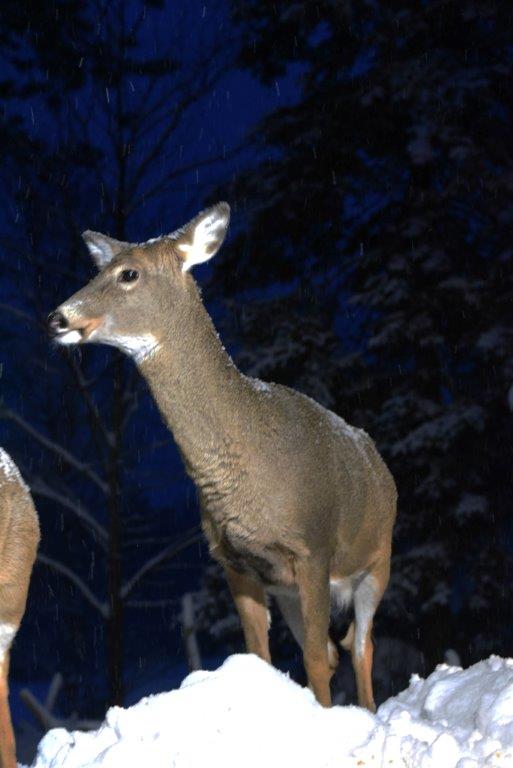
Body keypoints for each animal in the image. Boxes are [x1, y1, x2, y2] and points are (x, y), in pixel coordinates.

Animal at [47, 203, 397, 711]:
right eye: (98, 269)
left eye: (128, 273)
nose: (56, 318)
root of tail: (377, 460)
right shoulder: (236, 561)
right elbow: (261, 657)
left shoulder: (313, 545)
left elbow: (314, 656)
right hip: (291, 587)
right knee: (340, 648)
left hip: (377, 559)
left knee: (361, 645)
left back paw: (368, 711)